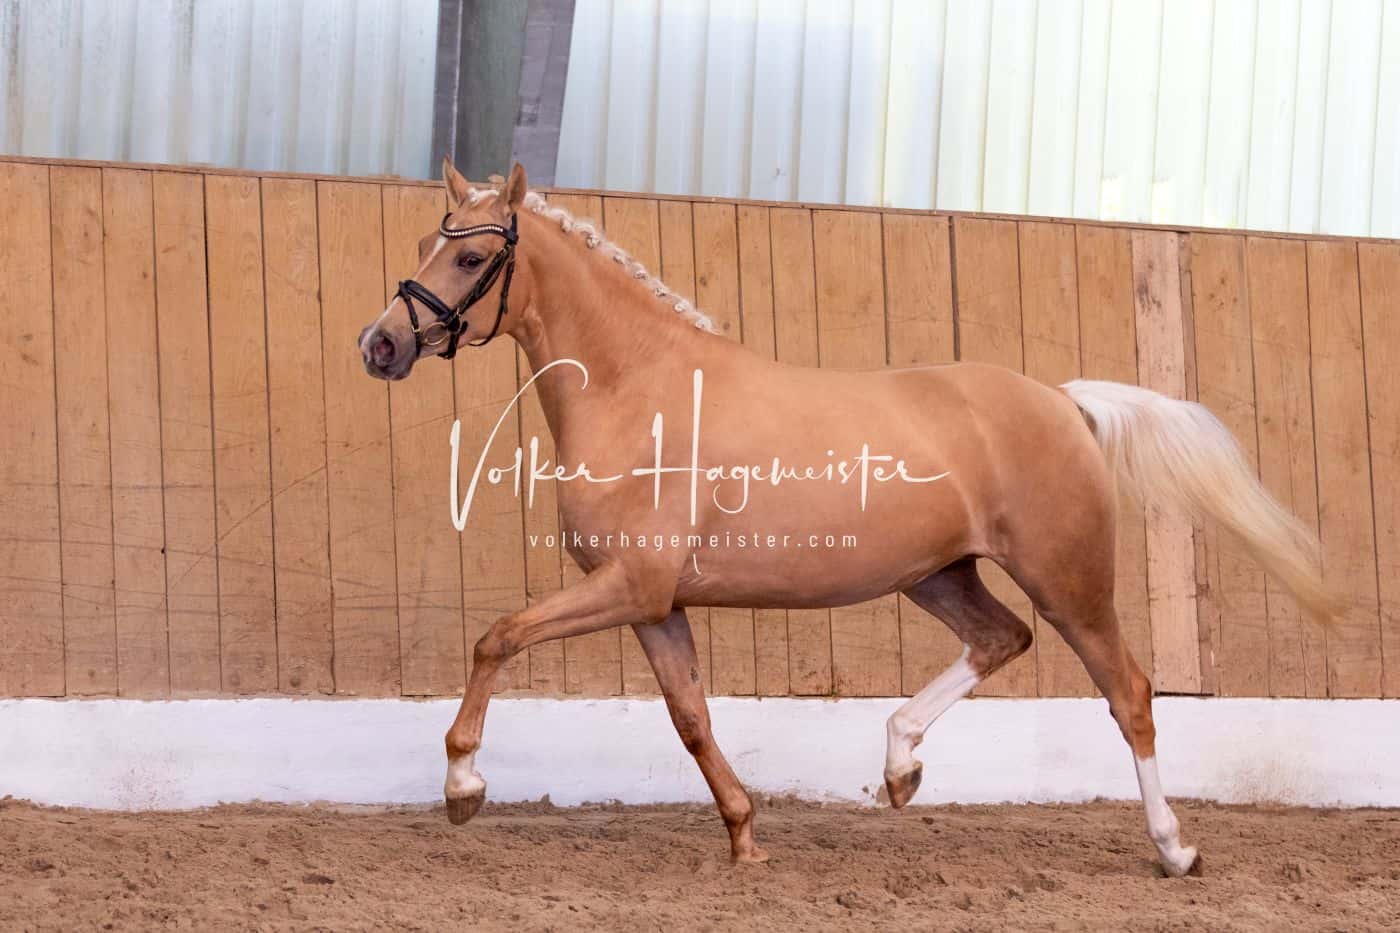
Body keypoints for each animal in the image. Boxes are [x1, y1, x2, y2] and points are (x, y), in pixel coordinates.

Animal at [356, 160, 1335, 876]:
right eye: (428, 241)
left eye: (472, 260)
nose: (381, 344)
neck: (641, 386)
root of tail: (1061, 399)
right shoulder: (654, 602)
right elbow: (691, 716)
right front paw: (745, 833)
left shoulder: (627, 585)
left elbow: (496, 637)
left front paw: (463, 784)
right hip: (940, 575)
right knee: (1000, 639)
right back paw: (900, 766)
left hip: (1071, 580)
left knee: (1128, 692)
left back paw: (1175, 848)